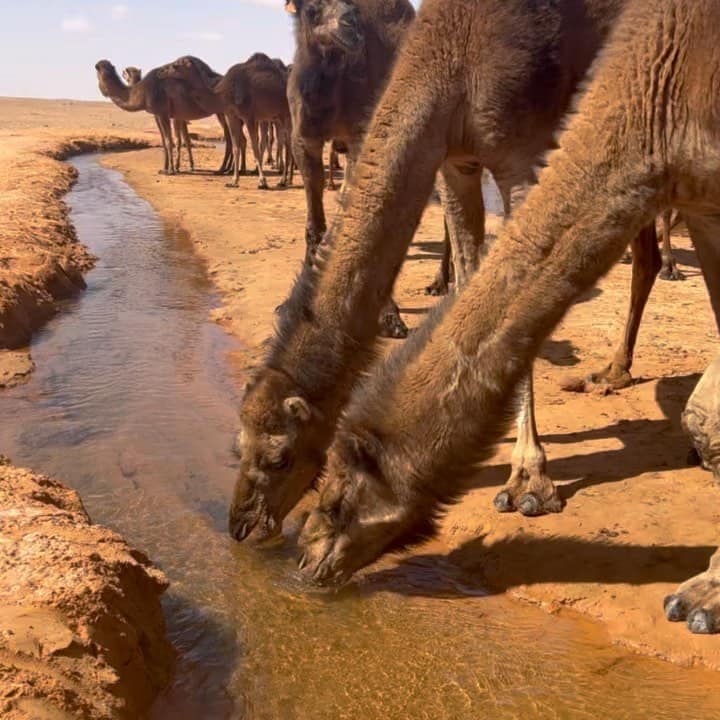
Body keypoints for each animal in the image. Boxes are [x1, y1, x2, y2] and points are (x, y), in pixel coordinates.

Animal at [95, 56, 231, 174]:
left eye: (97, 72)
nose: (102, 90)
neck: (142, 91)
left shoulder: (163, 113)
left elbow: (168, 140)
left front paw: (171, 170)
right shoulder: (160, 115)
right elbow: (165, 141)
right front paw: (165, 168)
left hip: (223, 112)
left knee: (230, 138)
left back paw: (223, 169)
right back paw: (226, 169)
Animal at [229, 0, 664, 544]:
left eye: (281, 457)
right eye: (238, 447)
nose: (240, 525)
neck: (454, 57)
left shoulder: (522, 152)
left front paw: (529, 482)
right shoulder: (458, 161)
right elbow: (472, 275)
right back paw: (612, 371)